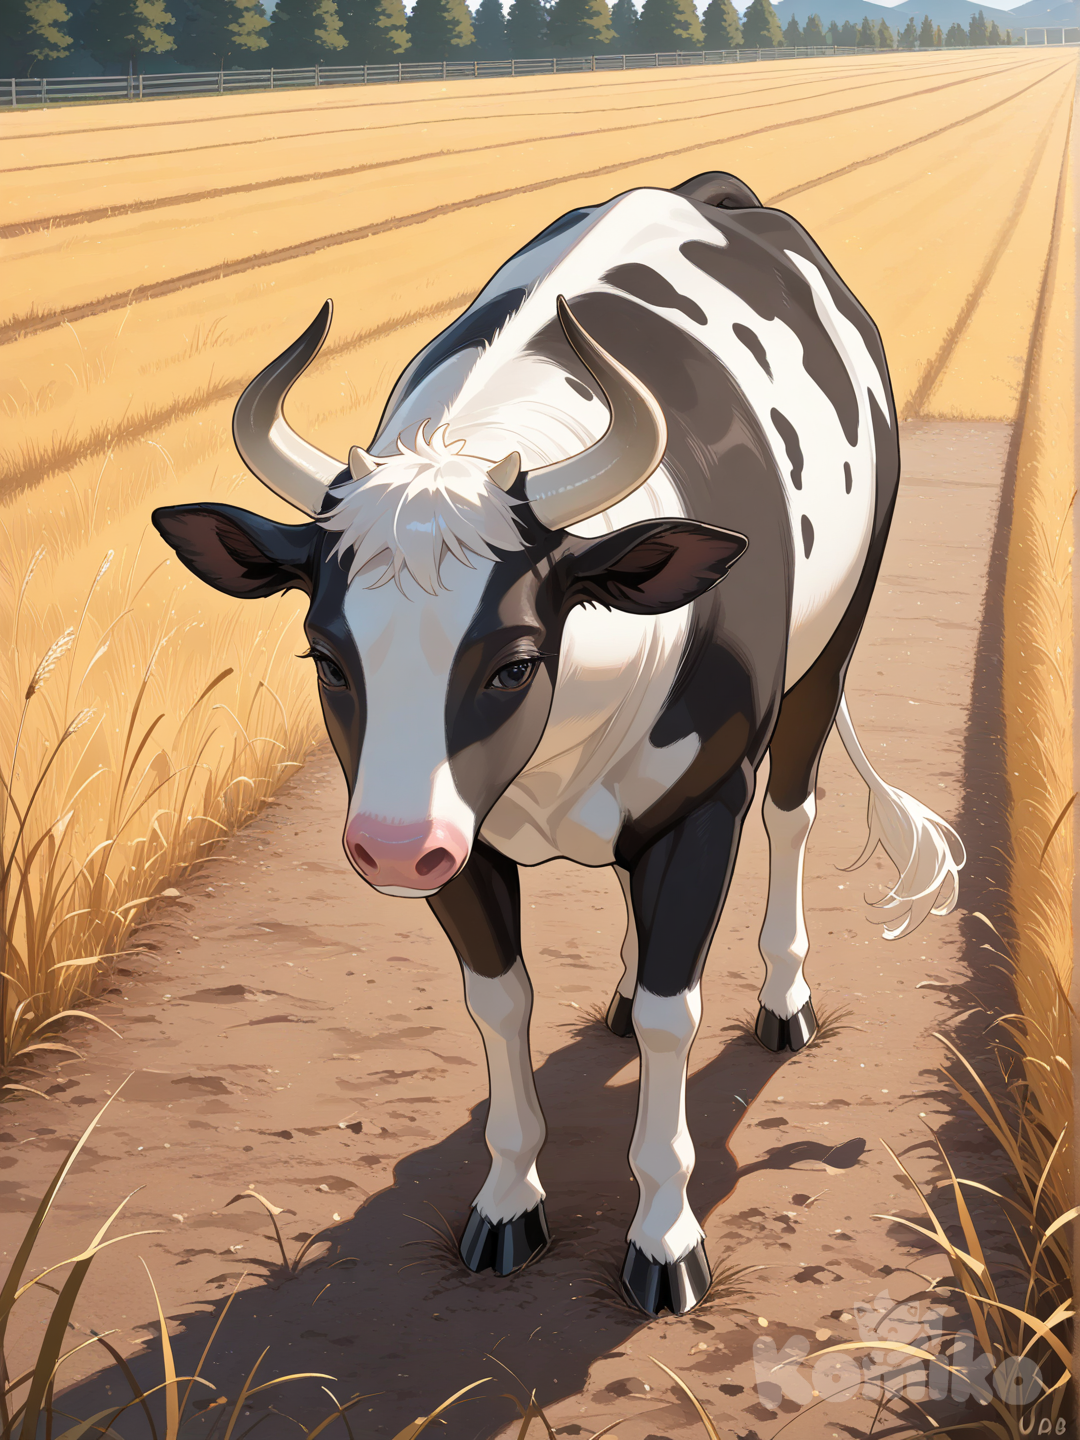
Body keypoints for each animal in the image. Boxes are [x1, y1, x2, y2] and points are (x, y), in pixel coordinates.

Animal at [152, 172, 964, 1318]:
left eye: (511, 662)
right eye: (326, 658)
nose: (387, 848)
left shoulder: (702, 805)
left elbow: (677, 1013)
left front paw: (665, 1237)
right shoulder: (460, 842)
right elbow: (500, 1001)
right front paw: (507, 1201)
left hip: (835, 641)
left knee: (795, 813)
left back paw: (783, 997)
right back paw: (619, 996)